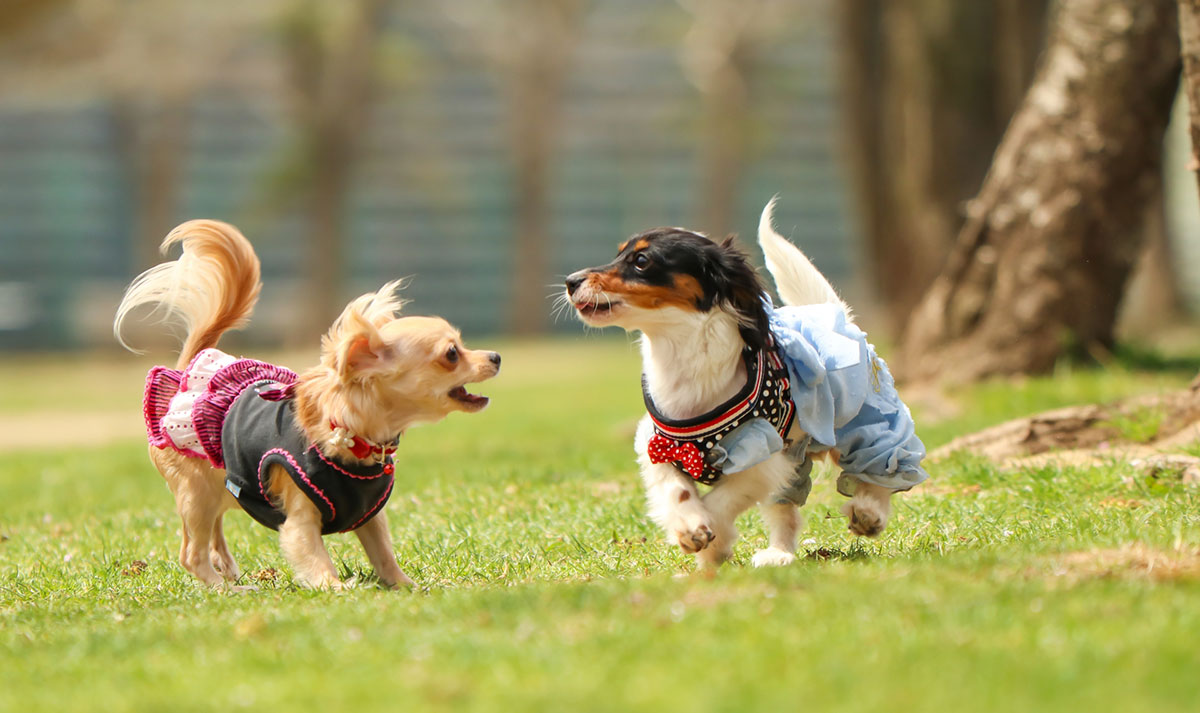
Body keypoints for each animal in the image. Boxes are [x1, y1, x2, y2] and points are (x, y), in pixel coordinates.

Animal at [114, 222, 499, 588]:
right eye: (452, 354)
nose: (495, 356)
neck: (353, 437)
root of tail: (187, 371)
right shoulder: (300, 519)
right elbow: (314, 557)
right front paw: (337, 587)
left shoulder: (370, 513)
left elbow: (384, 554)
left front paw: (408, 585)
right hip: (197, 492)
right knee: (191, 553)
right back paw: (227, 589)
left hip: (220, 486)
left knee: (210, 533)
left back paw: (229, 570)